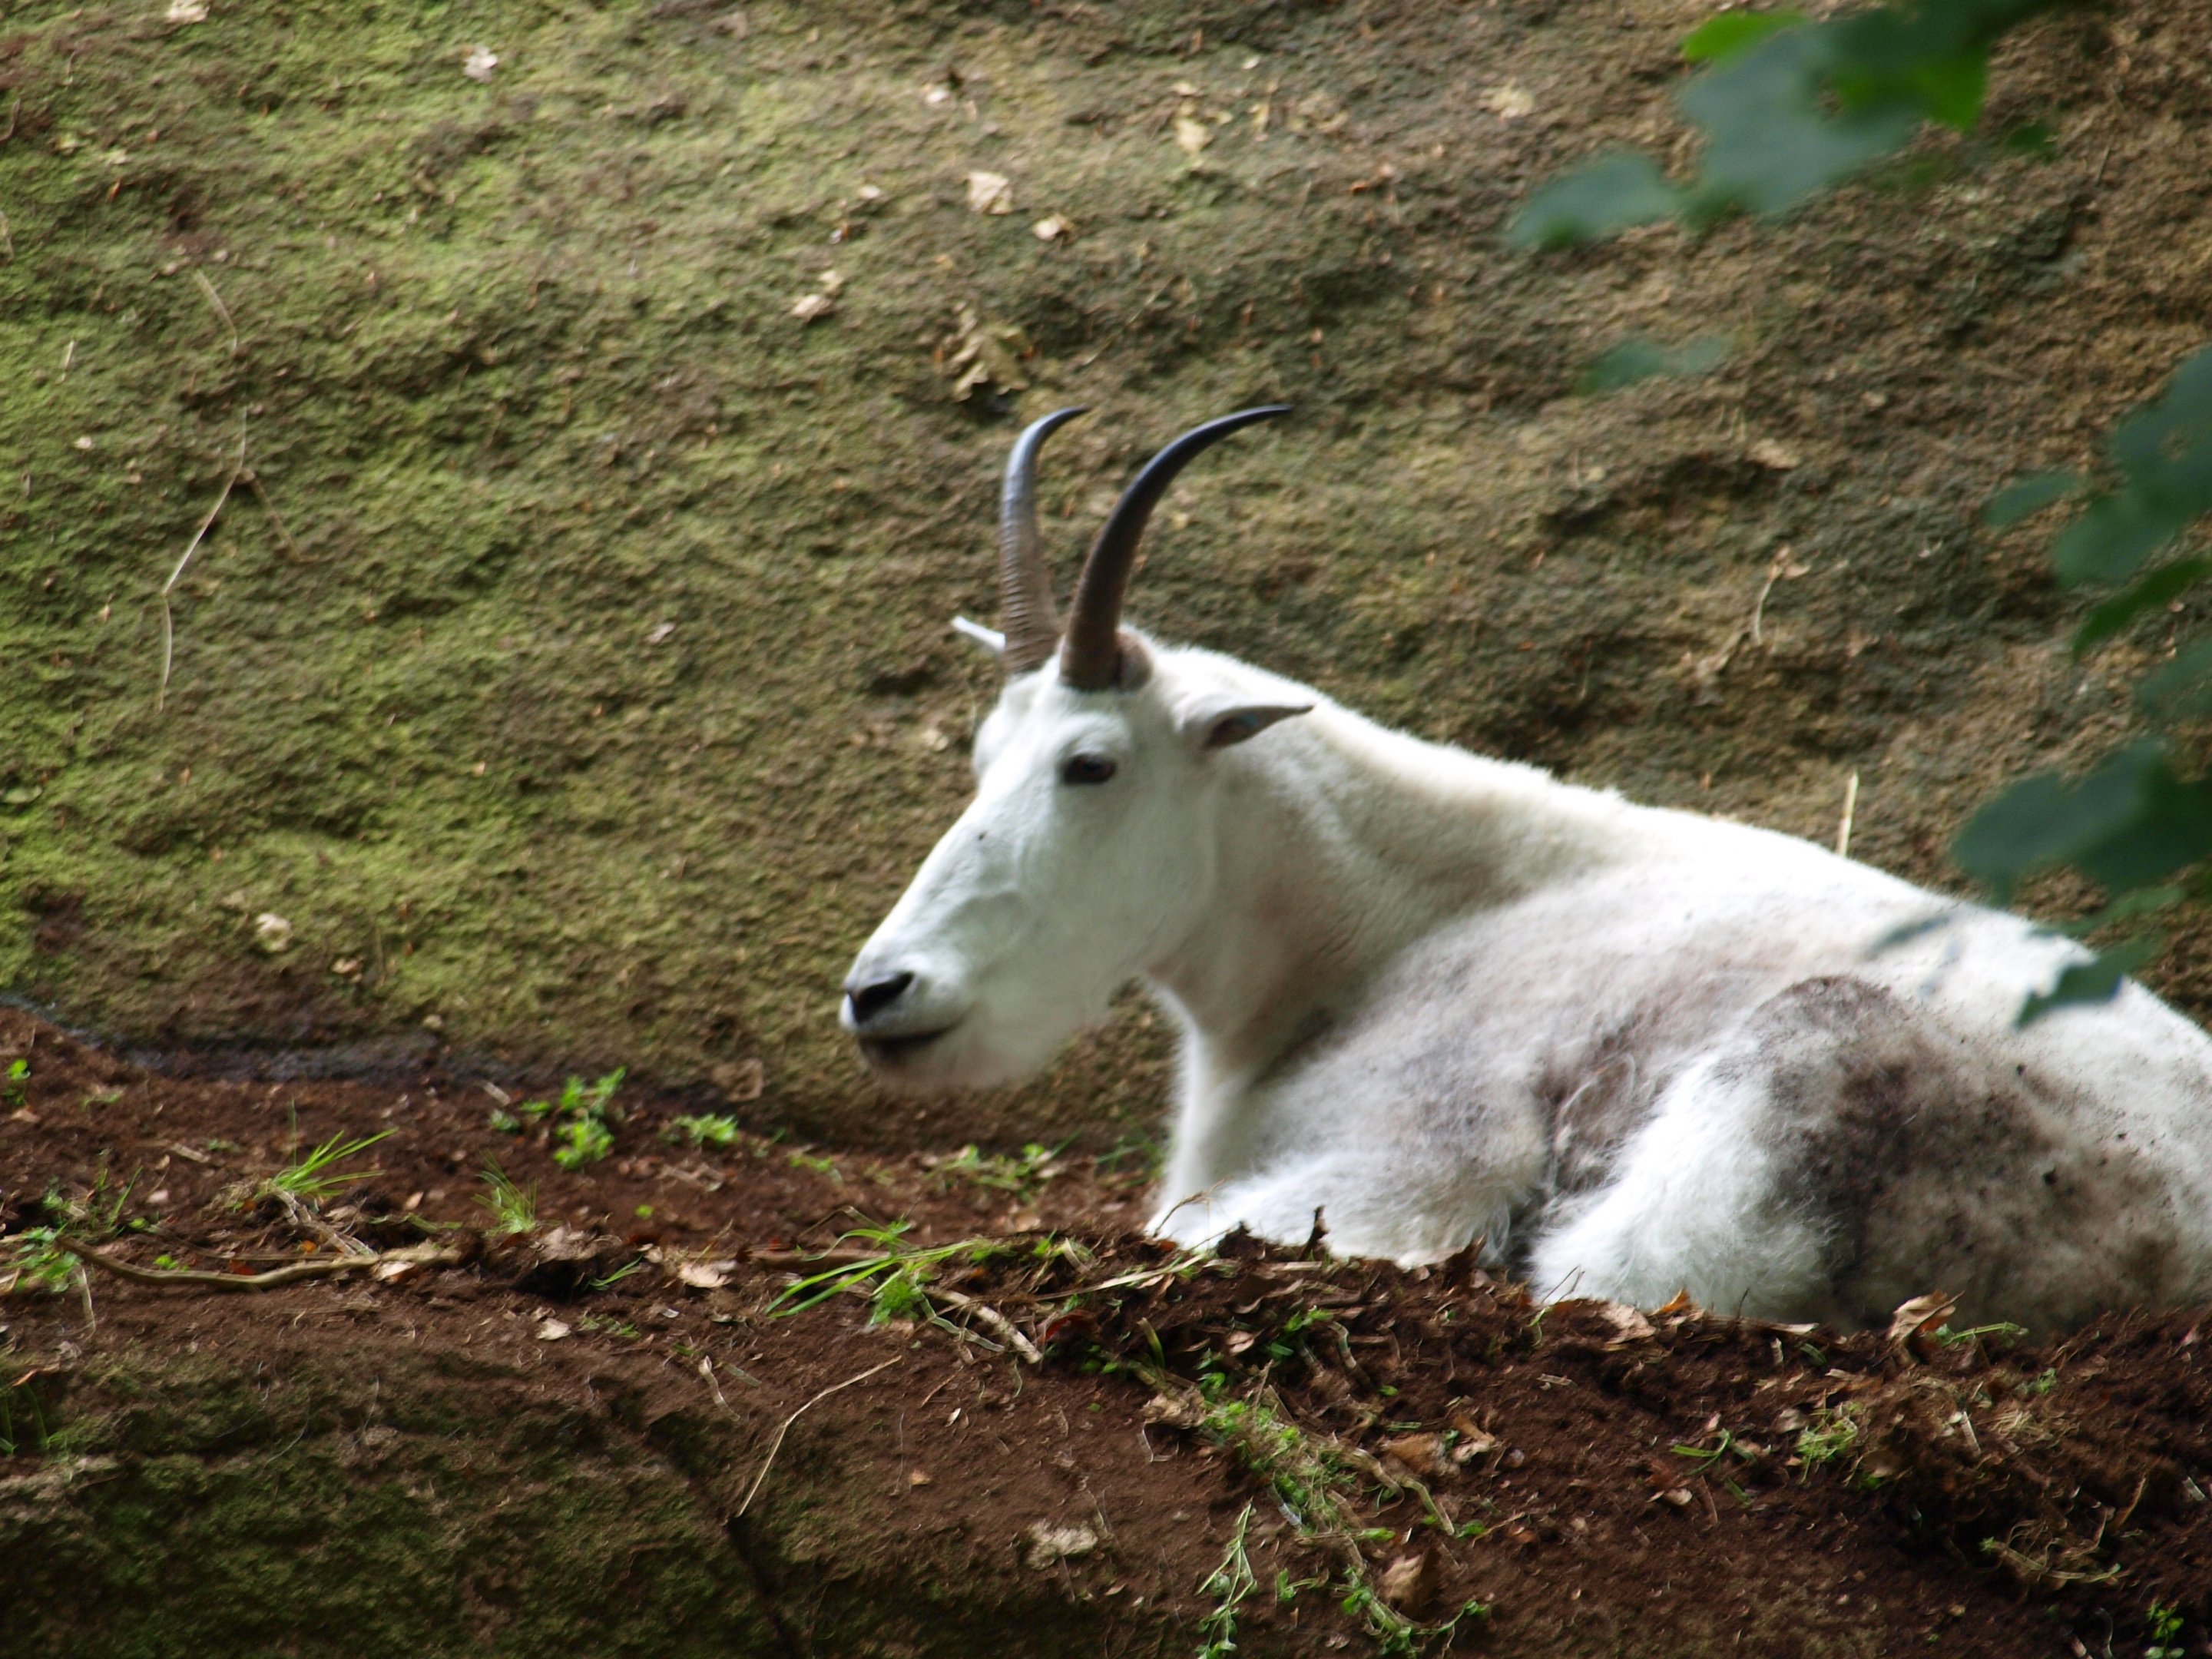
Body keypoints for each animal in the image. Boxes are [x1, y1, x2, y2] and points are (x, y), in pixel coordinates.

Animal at [844, 407, 2212, 1329]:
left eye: (1091, 765)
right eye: (982, 753)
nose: (881, 994)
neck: (1386, 933)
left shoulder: (1411, 1164)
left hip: (1803, 1085)